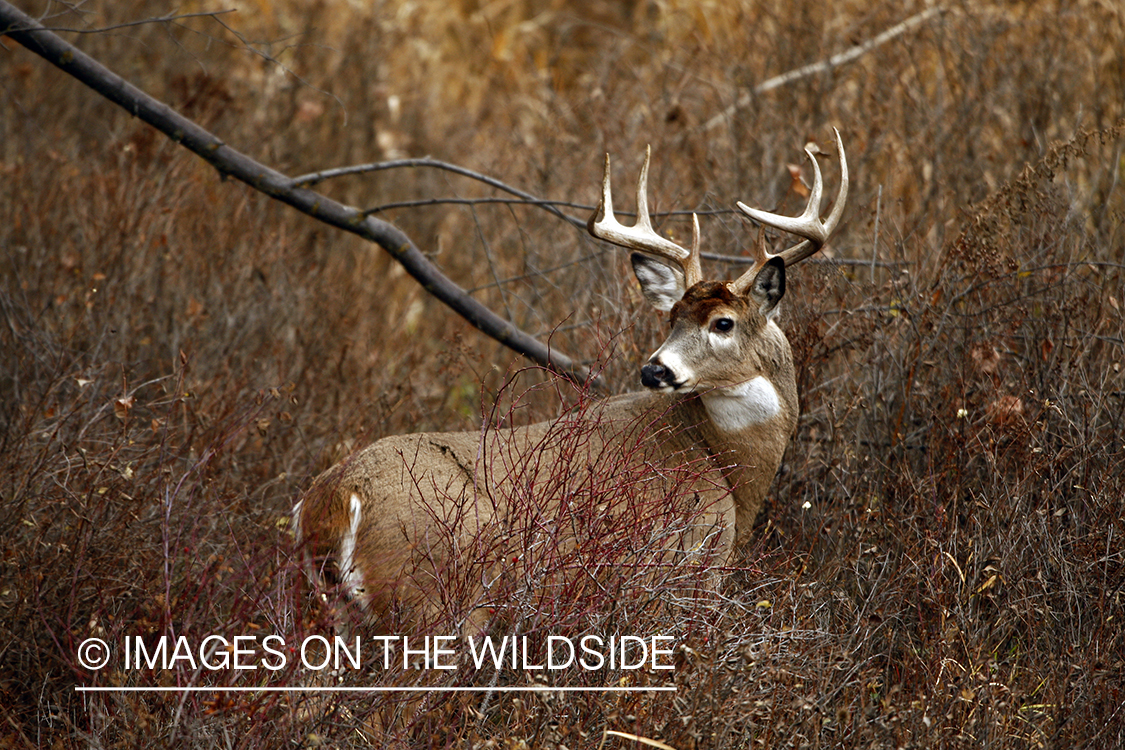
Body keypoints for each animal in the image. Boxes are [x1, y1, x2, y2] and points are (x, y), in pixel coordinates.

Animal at [292, 130, 846, 634]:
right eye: (673, 319)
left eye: (722, 323)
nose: (654, 369)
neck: (729, 473)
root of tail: (336, 498)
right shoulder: (685, 566)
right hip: (437, 596)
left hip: (329, 610)